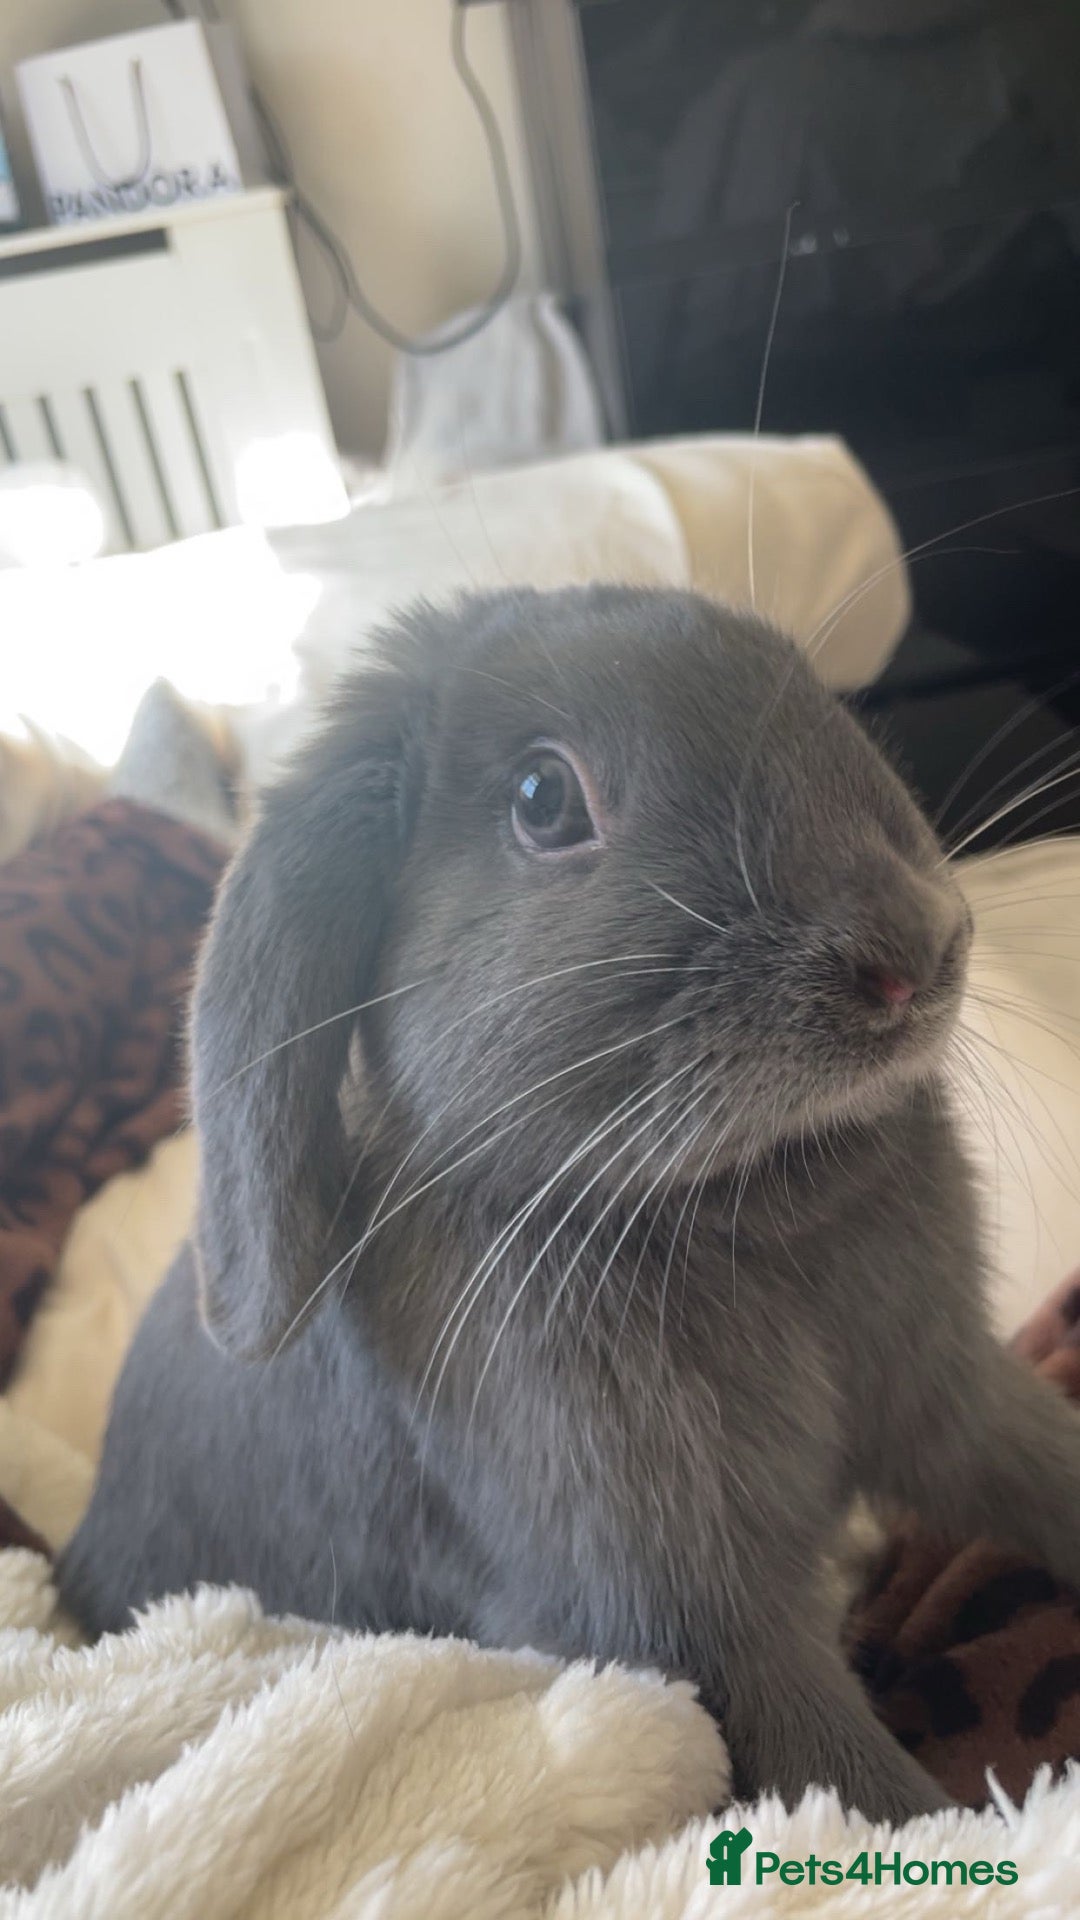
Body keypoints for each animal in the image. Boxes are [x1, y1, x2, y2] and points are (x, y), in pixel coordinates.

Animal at [59, 586, 1080, 1826]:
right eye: (544, 800)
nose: (917, 948)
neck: (739, 1197)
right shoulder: (675, 1613)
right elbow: (856, 1790)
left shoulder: (955, 1400)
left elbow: (1044, 1465)